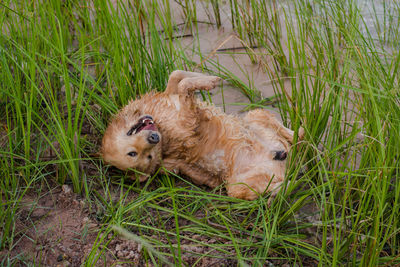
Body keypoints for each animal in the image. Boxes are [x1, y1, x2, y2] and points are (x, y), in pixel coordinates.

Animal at [101, 70, 304, 200]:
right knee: (282, 183)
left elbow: (176, 76)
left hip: (254, 114)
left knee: (295, 136)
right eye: (136, 154)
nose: (154, 138)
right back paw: (283, 186)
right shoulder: (190, 121)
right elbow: (184, 87)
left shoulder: (170, 95)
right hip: (237, 187)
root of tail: (287, 164)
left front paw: (204, 76)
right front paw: (210, 81)